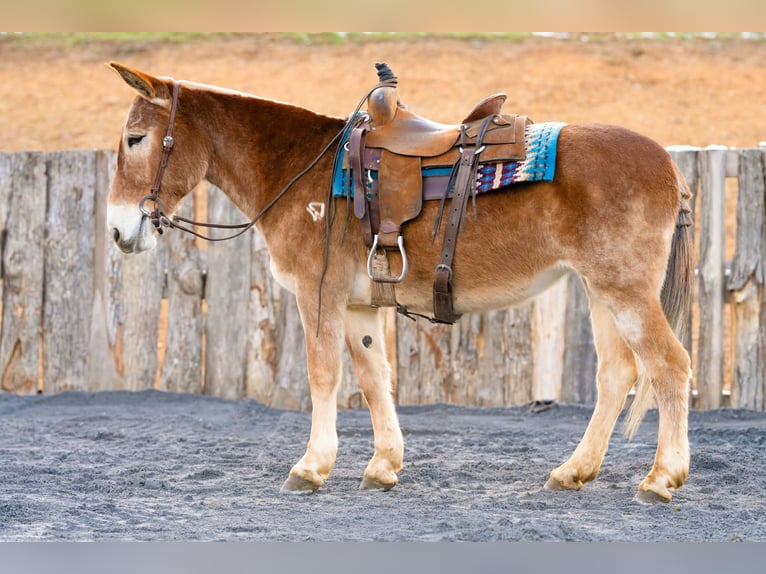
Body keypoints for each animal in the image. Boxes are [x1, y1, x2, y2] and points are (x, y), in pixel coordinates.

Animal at [106, 61, 694, 503]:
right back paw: (574, 470)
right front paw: (383, 465)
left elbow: (324, 375)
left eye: (135, 138)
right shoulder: (359, 307)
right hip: (599, 290)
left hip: (625, 291)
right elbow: (373, 379)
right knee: (617, 375)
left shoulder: (318, 294)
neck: (301, 169)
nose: (117, 229)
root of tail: (669, 166)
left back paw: (661, 478)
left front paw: (312, 466)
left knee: (669, 366)